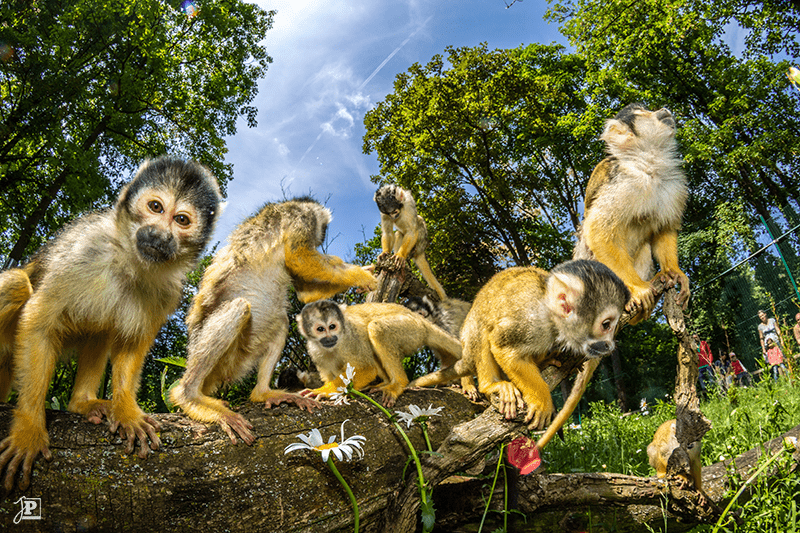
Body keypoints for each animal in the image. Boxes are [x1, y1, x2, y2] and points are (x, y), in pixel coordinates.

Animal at [0, 155, 222, 490]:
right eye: (155, 207)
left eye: (181, 220)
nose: (158, 235)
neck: (128, 260)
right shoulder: (84, 249)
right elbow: (39, 322)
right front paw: (28, 428)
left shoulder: (169, 290)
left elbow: (133, 344)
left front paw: (127, 410)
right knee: (15, 284)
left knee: (101, 329)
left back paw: (82, 404)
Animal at [169, 197, 376, 442]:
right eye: (323, 229)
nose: (322, 236)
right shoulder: (301, 217)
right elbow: (299, 257)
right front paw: (361, 275)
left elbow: (304, 293)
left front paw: (363, 271)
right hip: (219, 356)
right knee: (240, 308)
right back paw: (189, 396)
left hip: (242, 356)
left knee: (281, 320)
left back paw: (263, 393)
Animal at [298, 300, 462, 408]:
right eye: (320, 329)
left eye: (332, 326)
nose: (330, 338)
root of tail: (421, 320)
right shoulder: (314, 350)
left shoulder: (350, 338)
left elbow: (366, 369)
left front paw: (324, 392)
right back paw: (385, 382)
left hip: (411, 330)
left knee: (376, 329)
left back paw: (397, 384)